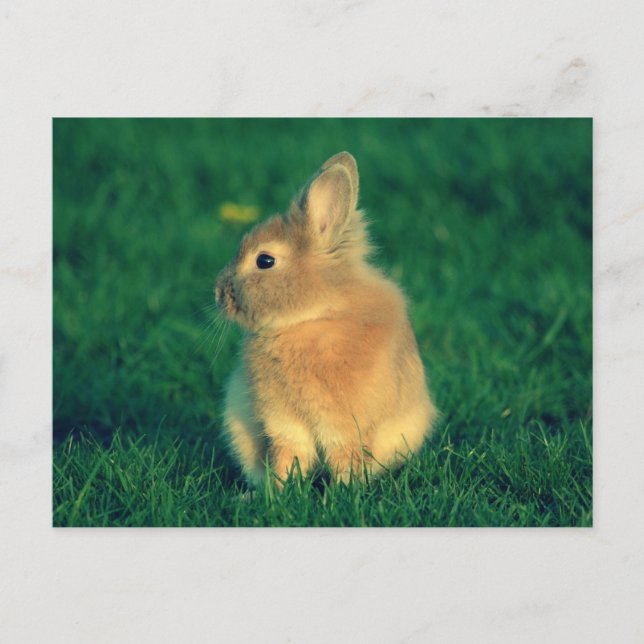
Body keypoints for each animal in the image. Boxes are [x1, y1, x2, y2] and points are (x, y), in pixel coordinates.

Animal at [214, 152, 437, 487]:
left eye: (265, 260)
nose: (218, 293)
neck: (312, 318)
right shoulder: (284, 423)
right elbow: (288, 456)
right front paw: (277, 491)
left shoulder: (344, 426)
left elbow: (342, 457)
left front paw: (345, 491)